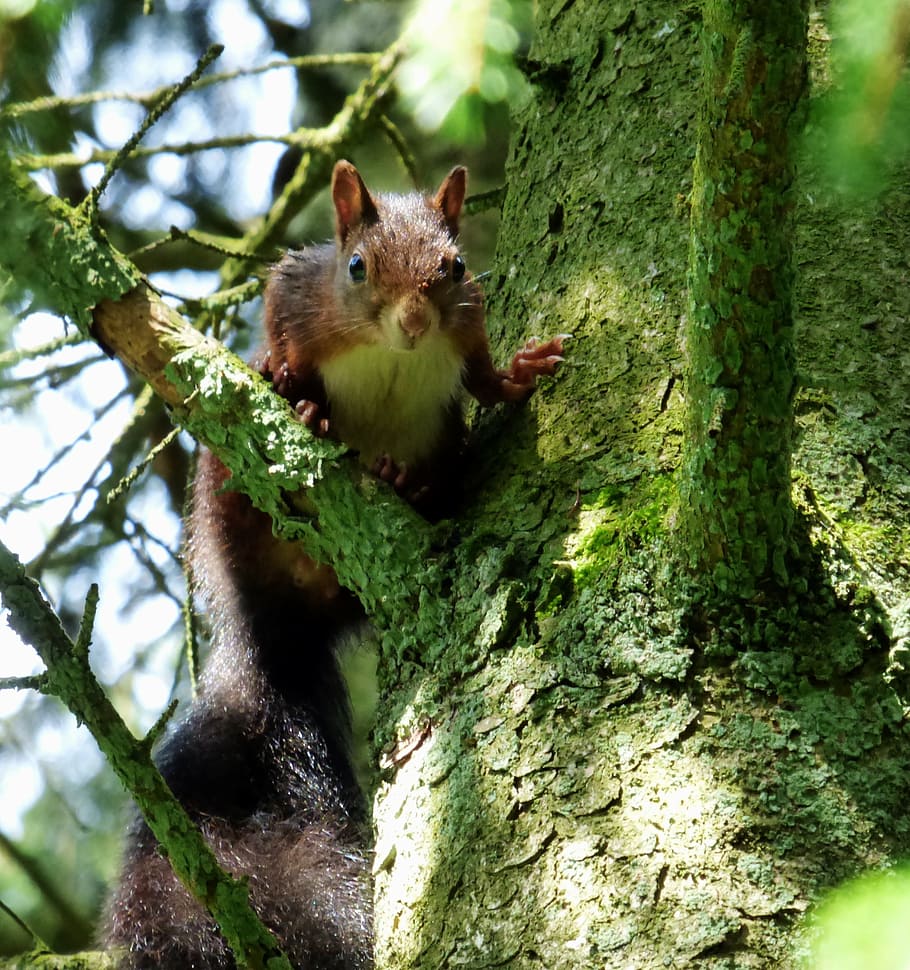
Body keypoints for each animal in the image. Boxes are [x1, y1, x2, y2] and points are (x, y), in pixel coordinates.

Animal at [101, 161, 564, 969]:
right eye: (356, 267)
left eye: (456, 266)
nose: (414, 324)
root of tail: (275, 620)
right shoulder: (298, 291)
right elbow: (279, 319)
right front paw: (293, 385)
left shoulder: (467, 327)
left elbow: (482, 378)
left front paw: (522, 371)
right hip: (222, 490)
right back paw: (302, 420)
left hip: (440, 450)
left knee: (433, 474)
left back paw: (407, 483)